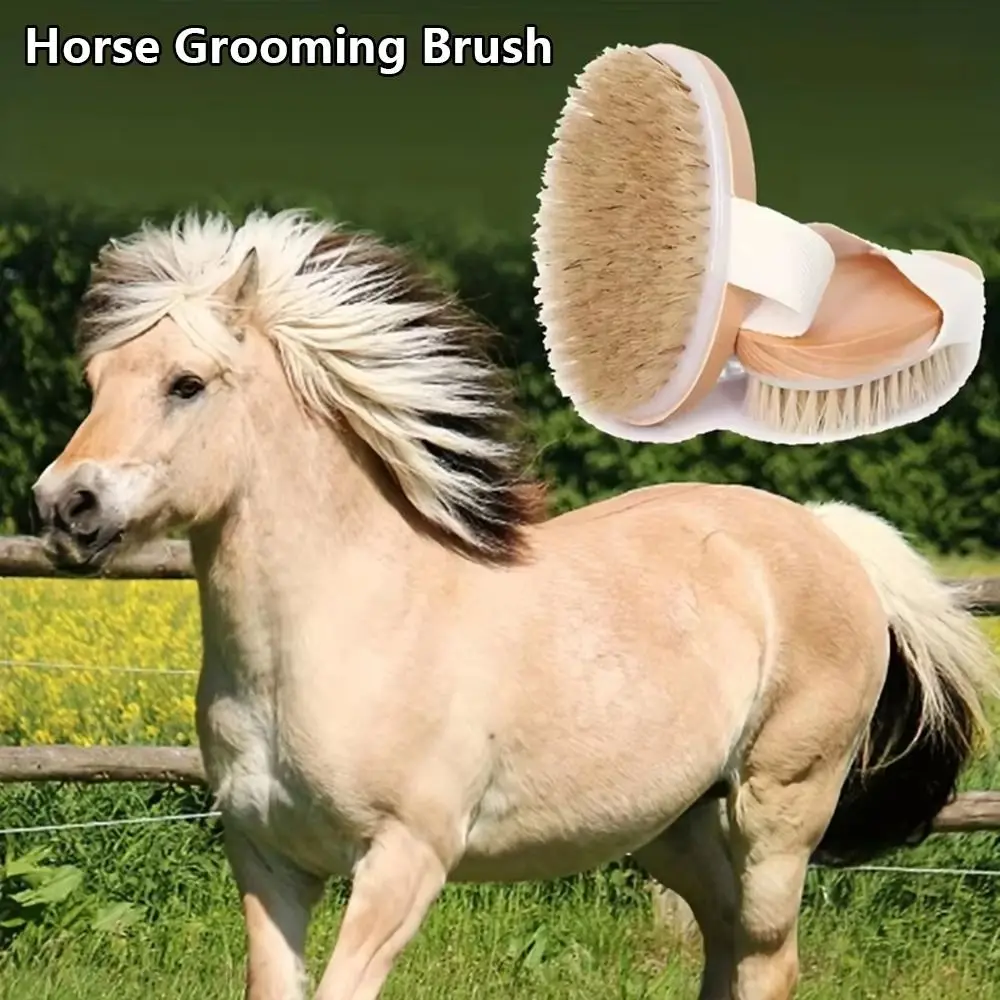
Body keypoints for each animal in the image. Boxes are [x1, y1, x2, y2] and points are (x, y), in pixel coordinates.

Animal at [32, 209, 998, 1000]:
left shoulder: (404, 860)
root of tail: (827, 534)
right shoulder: (266, 858)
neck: (338, 633)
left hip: (780, 811)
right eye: (97, 378)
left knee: (767, 961)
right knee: (723, 948)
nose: (64, 506)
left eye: (186, 383)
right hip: (671, 826)